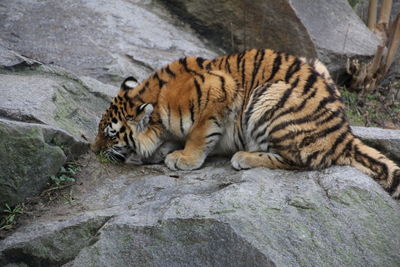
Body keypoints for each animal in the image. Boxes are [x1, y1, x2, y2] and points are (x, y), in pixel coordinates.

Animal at [92, 48, 400, 199]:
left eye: (110, 134)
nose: (94, 151)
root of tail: (343, 135)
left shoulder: (219, 91)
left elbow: (199, 134)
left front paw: (183, 159)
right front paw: (159, 152)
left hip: (270, 98)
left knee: (301, 161)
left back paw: (244, 157)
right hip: (317, 67)